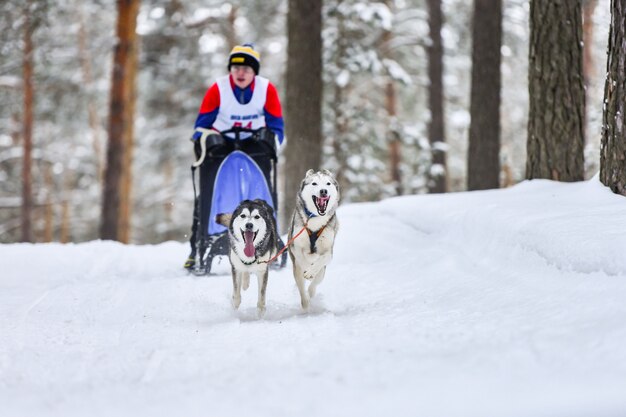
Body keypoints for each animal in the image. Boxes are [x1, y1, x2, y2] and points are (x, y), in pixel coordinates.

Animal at [286, 169, 336, 308]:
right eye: (314, 183)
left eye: (328, 183)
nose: (323, 191)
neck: (315, 220)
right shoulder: (296, 246)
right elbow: (302, 259)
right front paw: (307, 269)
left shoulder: (328, 251)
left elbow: (323, 259)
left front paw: (310, 272)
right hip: (296, 270)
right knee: (301, 287)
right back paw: (305, 302)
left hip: (322, 271)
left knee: (315, 282)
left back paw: (311, 292)